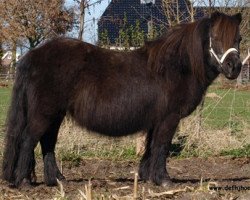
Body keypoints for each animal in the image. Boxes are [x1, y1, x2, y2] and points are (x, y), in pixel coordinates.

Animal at [1, 11, 242, 188]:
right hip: (44, 114)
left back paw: (58, 180)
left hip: (55, 114)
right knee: (28, 140)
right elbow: (162, 146)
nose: (235, 67)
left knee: (47, 143)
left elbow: (150, 147)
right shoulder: (169, 118)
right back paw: (24, 181)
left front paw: (147, 177)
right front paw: (164, 181)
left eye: (238, 39)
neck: (175, 67)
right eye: (216, 38)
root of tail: (32, 56)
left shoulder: (156, 120)